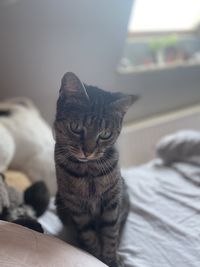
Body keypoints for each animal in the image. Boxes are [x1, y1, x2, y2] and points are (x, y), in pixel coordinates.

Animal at [54, 73, 137, 267]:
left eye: (105, 134)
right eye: (76, 128)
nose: (88, 151)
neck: (89, 172)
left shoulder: (112, 202)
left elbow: (110, 235)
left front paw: (111, 259)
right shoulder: (77, 209)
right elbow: (89, 236)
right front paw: (95, 256)